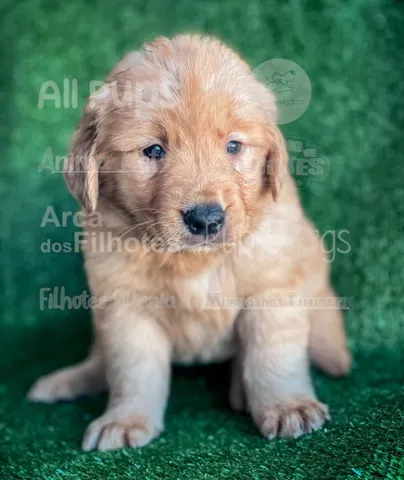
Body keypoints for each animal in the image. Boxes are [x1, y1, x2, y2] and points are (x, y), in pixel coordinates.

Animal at [28, 34, 350, 450]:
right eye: (153, 150)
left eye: (233, 146)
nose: (206, 219)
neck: (193, 261)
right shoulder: (125, 306)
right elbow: (133, 370)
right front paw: (125, 420)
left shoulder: (273, 288)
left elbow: (272, 355)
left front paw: (287, 406)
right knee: (100, 361)